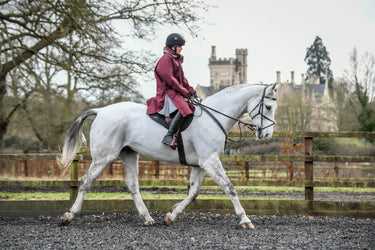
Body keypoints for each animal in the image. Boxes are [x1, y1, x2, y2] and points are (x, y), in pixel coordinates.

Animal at [58, 82, 280, 229]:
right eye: (268, 107)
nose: (267, 135)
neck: (214, 116)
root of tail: (102, 111)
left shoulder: (200, 164)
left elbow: (193, 193)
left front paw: (172, 215)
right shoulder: (210, 161)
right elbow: (230, 188)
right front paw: (245, 219)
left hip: (128, 154)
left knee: (132, 185)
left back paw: (147, 218)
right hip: (104, 157)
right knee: (86, 181)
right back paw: (69, 215)